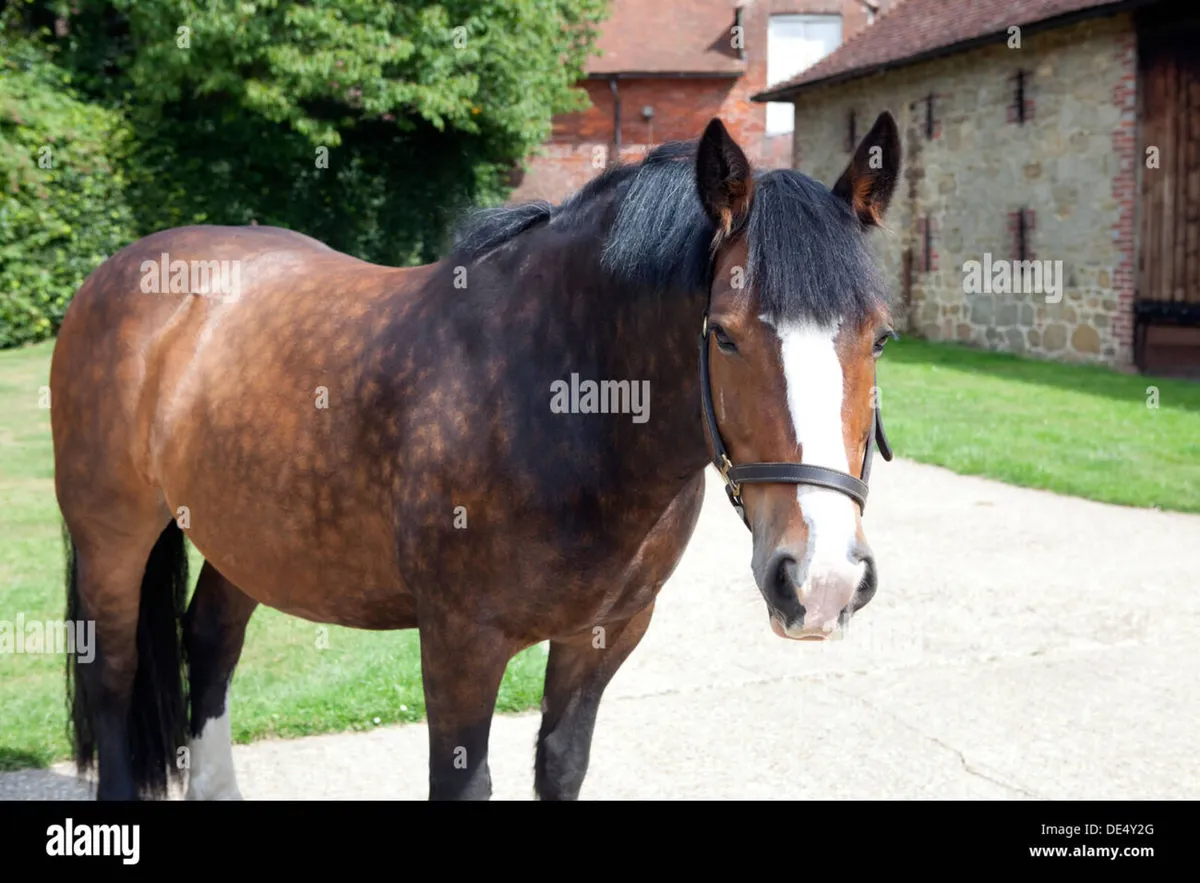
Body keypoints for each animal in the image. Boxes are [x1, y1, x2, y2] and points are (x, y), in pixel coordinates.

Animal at [52, 112, 901, 800]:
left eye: (881, 336)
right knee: (113, 673)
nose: (821, 579)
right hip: (111, 538)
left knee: (210, 643)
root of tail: (121, 272)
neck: (560, 399)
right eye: (723, 334)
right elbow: (464, 780)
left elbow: (562, 763)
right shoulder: (460, 643)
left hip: (246, 535)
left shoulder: (606, 634)